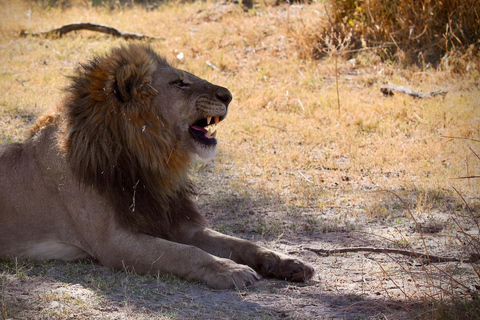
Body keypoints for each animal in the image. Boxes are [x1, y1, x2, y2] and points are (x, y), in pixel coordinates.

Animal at [0, 43, 316, 290]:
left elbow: (238, 243)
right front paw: (230, 270)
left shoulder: (173, 221)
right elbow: (186, 254)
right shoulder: (113, 242)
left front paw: (283, 261)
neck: (151, 161)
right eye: (179, 83)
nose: (228, 95)